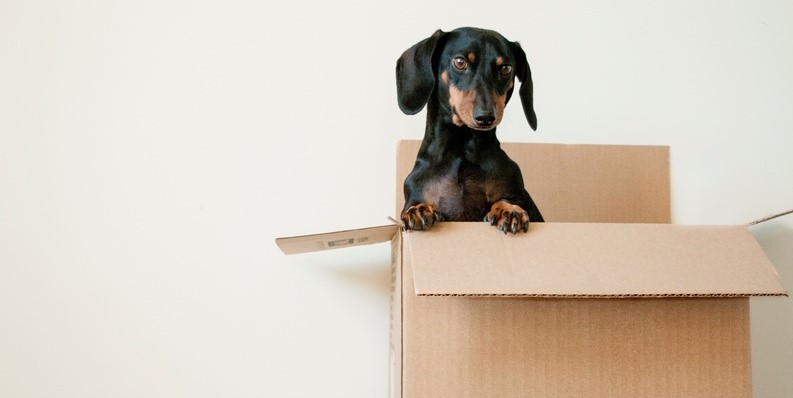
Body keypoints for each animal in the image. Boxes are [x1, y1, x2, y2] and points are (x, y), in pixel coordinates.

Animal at [396, 27, 544, 233]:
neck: (462, 149)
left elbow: (509, 200)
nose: (485, 117)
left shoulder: (516, 192)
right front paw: (419, 209)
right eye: (460, 62)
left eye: (506, 68)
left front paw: (509, 209)